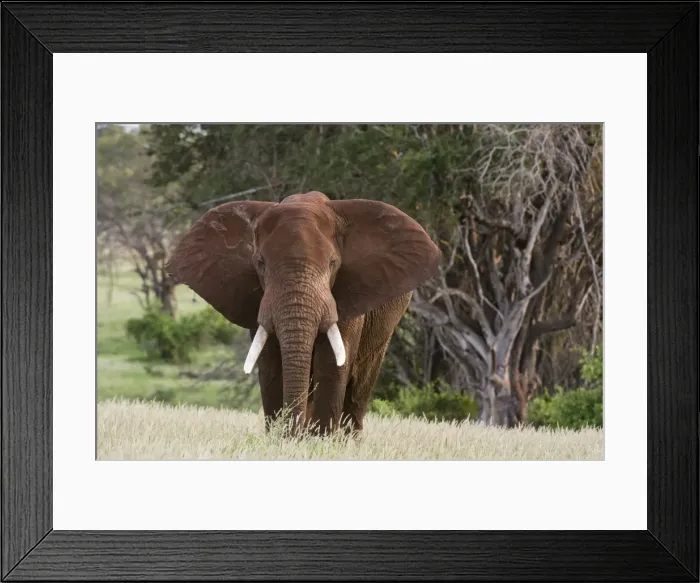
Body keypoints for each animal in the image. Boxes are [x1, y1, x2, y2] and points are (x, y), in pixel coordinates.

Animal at [165, 191, 441, 435]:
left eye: (333, 264)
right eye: (260, 263)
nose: (293, 433)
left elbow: (332, 365)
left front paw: (319, 443)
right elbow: (271, 365)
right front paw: (283, 441)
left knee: (359, 387)